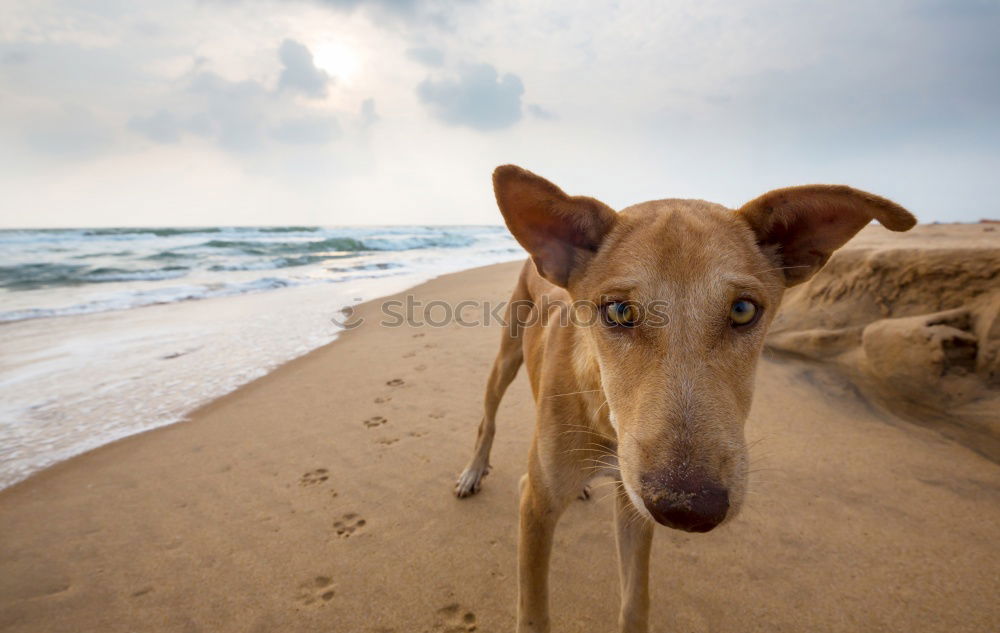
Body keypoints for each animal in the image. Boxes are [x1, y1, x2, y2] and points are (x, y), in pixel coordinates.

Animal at [454, 165, 916, 628]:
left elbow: (634, 602)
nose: (688, 509)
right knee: (486, 419)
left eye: (743, 310)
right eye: (619, 311)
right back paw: (473, 472)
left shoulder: (633, 502)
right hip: (507, 356)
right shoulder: (537, 505)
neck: (606, 417)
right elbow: (533, 613)